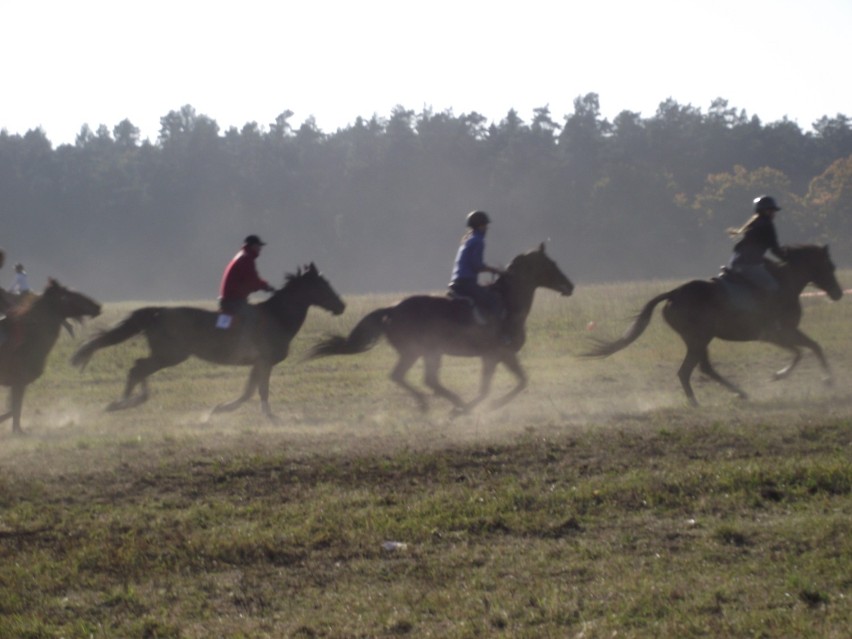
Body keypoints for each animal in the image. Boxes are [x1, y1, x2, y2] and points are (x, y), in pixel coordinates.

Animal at [0, 280, 102, 436]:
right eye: (70, 295)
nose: (97, 306)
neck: (30, 334)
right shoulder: (18, 382)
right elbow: (15, 409)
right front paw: (18, 431)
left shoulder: (18, 384)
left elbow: (14, 409)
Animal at [72, 264, 346, 420]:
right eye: (323, 285)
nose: (341, 306)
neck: (276, 316)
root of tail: (158, 311)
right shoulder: (264, 360)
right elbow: (259, 390)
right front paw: (265, 415)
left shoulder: (257, 363)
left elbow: (249, 390)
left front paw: (222, 408)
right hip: (170, 355)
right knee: (137, 368)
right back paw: (122, 402)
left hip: (165, 355)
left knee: (139, 367)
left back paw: (130, 400)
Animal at [306, 242, 572, 412]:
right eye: (550, 264)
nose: (569, 286)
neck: (508, 301)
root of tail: (392, 309)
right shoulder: (501, 354)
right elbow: (512, 384)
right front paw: (487, 406)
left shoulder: (493, 357)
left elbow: (504, 384)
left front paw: (479, 407)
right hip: (418, 351)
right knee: (412, 378)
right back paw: (446, 403)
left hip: (426, 353)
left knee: (421, 379)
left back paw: (446, 403)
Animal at [584, 245, 844, 404]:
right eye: (829, 266)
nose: (838, 293)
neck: (785, 282)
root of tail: (674, 294)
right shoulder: (779, 333)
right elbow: (804, 350)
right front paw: (817, 379)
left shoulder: (783, 334)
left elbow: (809, 348)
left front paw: (822, 379)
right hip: (699, 338)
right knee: (689, 370)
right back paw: (699, 401)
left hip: (699, 339)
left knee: (702, 369)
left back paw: (736, 393)